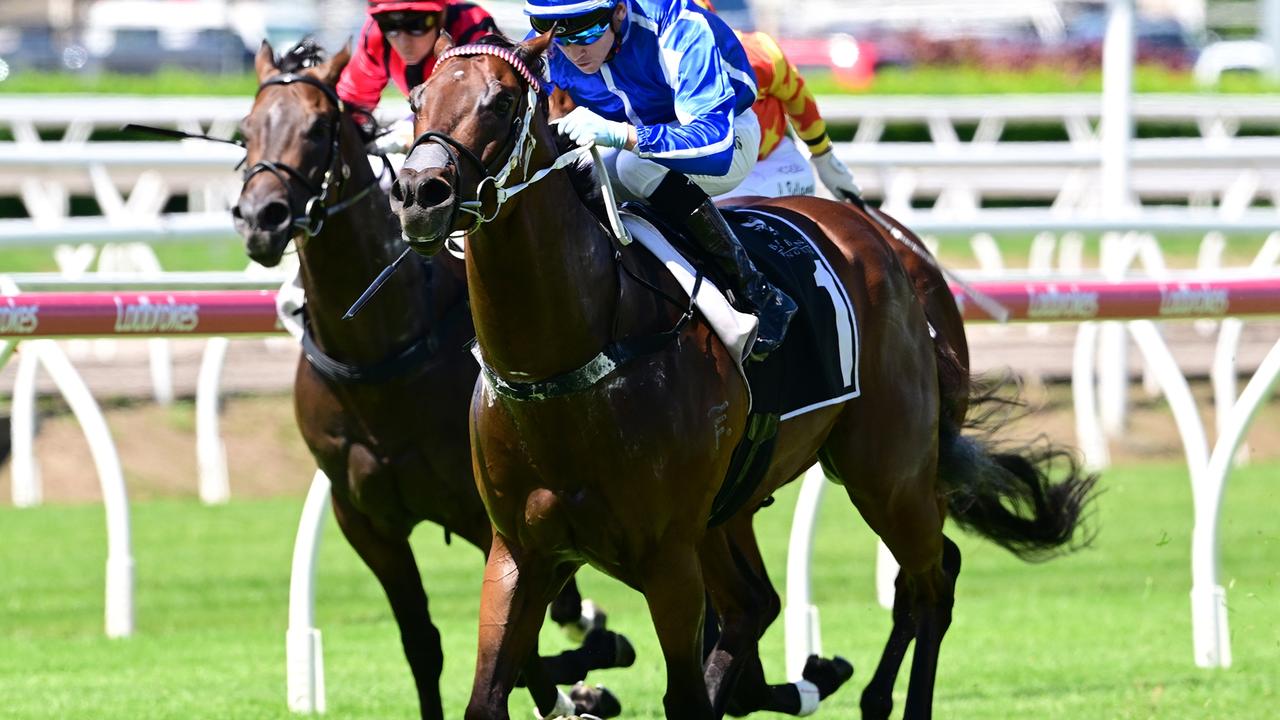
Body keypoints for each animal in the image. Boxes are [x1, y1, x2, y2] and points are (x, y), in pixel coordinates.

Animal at [232, 40, 632, 717]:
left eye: (317, 128)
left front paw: (585, 678)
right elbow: (425, 642)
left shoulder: (485, 515)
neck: (379, 353)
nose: (263, 217)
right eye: (246, 128)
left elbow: (527, 645)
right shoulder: (367, 521)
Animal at [389, 32, 1090, 717]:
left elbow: (686, 695)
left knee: (931, 582)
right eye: (417, 98)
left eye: (503, 102)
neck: (566, 365)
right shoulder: (519, 550)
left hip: (887, 472)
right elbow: (488, 695)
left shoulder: (666, 555)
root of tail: (877, 236)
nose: (421, 193)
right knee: (763, 605)